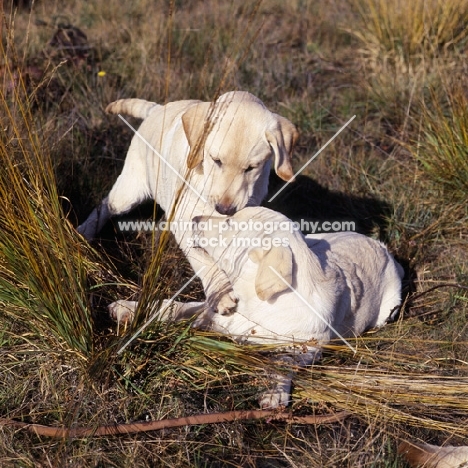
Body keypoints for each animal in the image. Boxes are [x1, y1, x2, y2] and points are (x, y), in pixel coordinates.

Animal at [76, 92, 296, 314]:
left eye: (252, 167)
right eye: (216, 160)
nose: (224, 209)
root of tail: (157, 109)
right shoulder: (186, 222)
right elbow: (203, 260)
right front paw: (221, 292)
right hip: (130, 189)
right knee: (105, 205)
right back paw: (85, 231)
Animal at [109, 207, 402, 408]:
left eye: (230, 224)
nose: (194, 219)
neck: (255, 305)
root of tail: (381, 246)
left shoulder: (307, 348)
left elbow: (280, 361)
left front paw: (274, 391)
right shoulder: (214, 312)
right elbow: (173, 307)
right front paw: (129, 308)